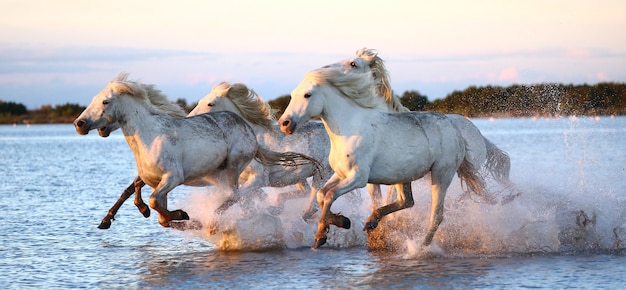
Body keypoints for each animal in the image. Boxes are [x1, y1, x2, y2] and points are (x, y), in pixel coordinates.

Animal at [73, 74, 316, 229]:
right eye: (94, 100)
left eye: (105, 101)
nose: (79, 124)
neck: (150, 137)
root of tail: (247, 130)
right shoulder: (155, 181)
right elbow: (146, 200)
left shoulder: (173, 178)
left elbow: (152, 200)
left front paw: (181, 214)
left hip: (234, 169)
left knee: (237, 195)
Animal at [186, 80, 332, 216]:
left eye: (210, 103)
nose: (188, 119)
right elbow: (245, 199)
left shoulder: (258, 179)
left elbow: (236, 197)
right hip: (298, 175)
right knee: (303, 193)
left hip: (322, 174)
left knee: (312, 203)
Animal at [278, 62, 488, 247]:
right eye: (292, 95)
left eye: (307, 95)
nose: (284, 123)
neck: (349, 128)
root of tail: (455, 130)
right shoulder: (341, 174)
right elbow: (322, 195)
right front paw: (342, 221)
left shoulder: (358, 178)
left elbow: (329, 196)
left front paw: (321, 235)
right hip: (404, 176)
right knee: (406, 201)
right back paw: (372, 221)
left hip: (441, 175)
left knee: (436, 215)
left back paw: (420, 248)